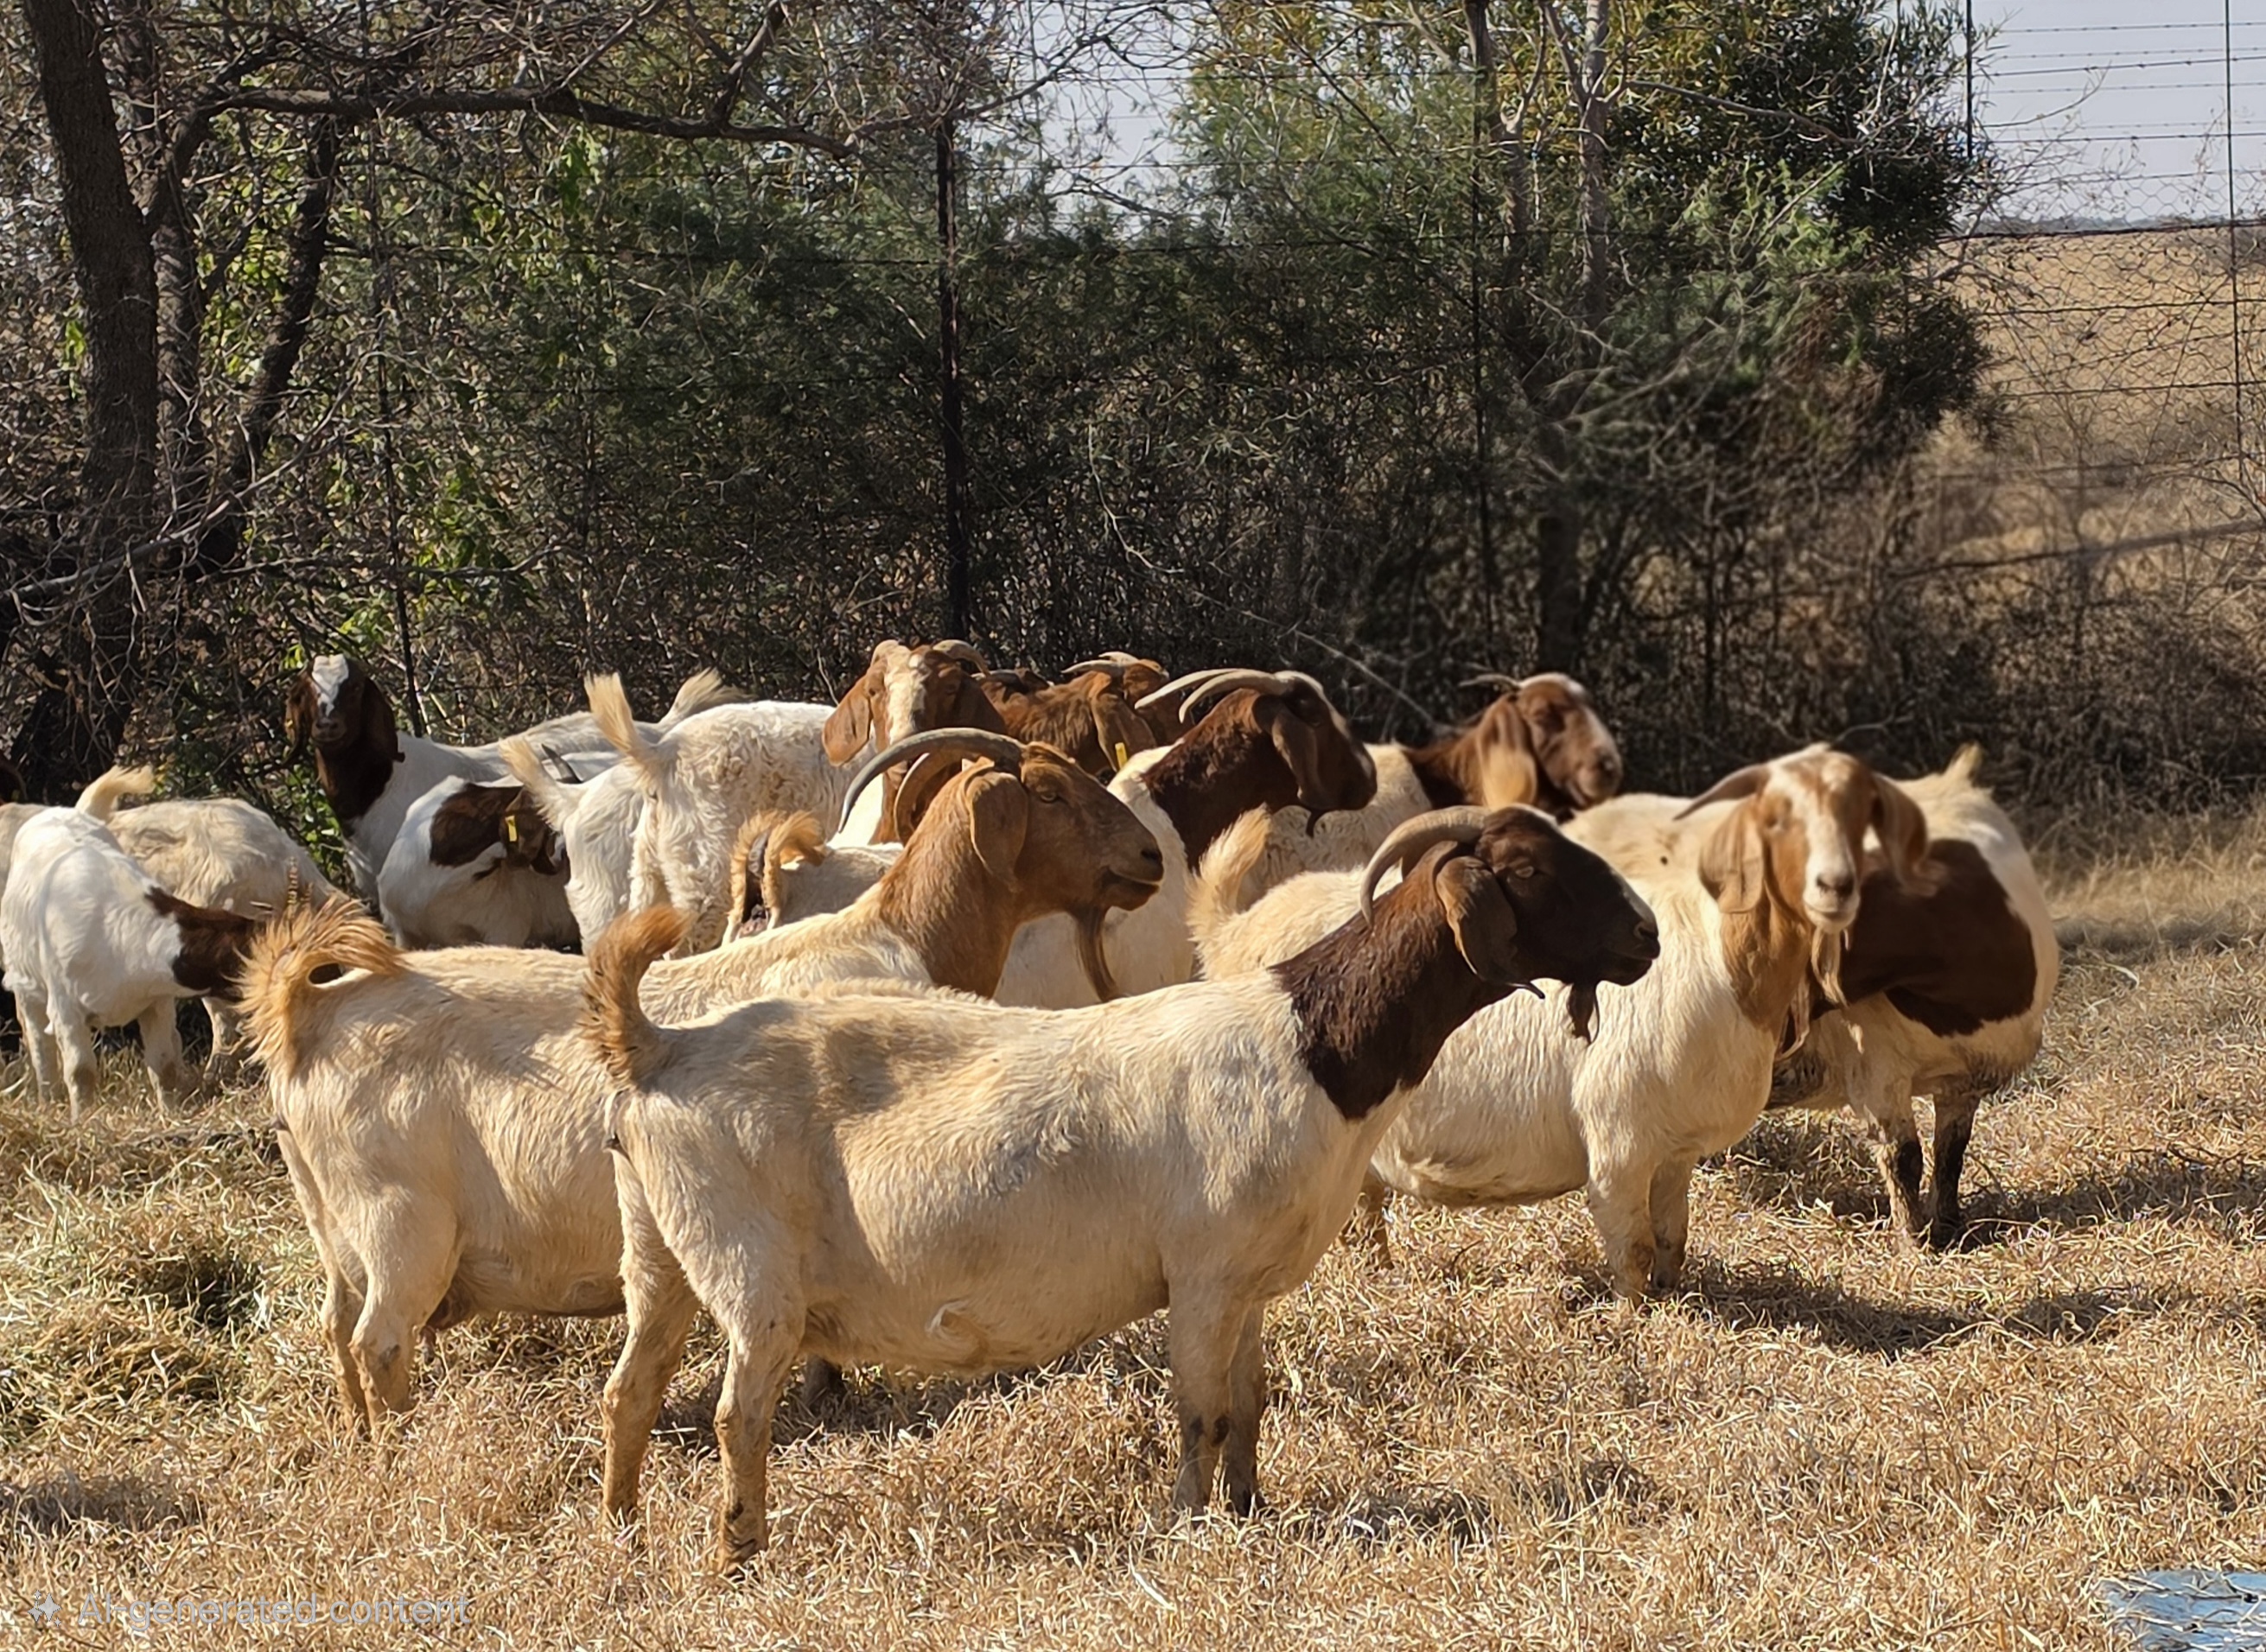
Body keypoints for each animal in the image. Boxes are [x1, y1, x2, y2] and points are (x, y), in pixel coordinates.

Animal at [2, 809, 258, 1118]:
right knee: (40, 1045)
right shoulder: (66, 1011)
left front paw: (170, 1115)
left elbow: (164, 1067)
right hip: (26, 987)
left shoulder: (157, 1003)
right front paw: (83, 1120)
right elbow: (80, 1072)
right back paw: (48, 1101)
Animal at [240, 729, 1162, 1432]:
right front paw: (827, 1393)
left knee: (336, 1328)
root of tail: (307, 1013)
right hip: (401, 1225)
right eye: (1050, 793)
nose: (1151, 856)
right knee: (379, 1342)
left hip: (335, 1224)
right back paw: (405, 1446)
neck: (902, 935)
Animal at [585, 804, 1658, 1565]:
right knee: (738, 1414)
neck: (1313, 1047)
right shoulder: (1204, 1273)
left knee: (629, 1388)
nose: (1646, 934)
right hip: (749, 1265)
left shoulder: (1244, 1281)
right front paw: (1188, 1526)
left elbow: (1250, 1401)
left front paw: (1249, 1510)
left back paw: (623, 1532)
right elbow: (1202, 1410)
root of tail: (658, 1048)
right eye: (1531, 870)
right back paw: (739, 1554)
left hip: (658, 1248)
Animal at [1196, 747, 1926, 1299]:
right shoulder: (1620, 1145)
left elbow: (1672, 1241)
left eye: (1860, 814)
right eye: (1776, 818)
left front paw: (1676, 1304)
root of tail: (1235, 930)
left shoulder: (1675, 1151)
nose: (1835, 887)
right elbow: (1632, 1250)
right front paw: (1631, 1321)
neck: (1727, 964)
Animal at [1764, 746, 2057, 1247]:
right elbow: (1903, 1155)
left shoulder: (1968, 1077)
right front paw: (1914, 1240)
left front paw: (1951, 1225)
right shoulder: (1875, 1068)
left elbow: (1951, 1153)